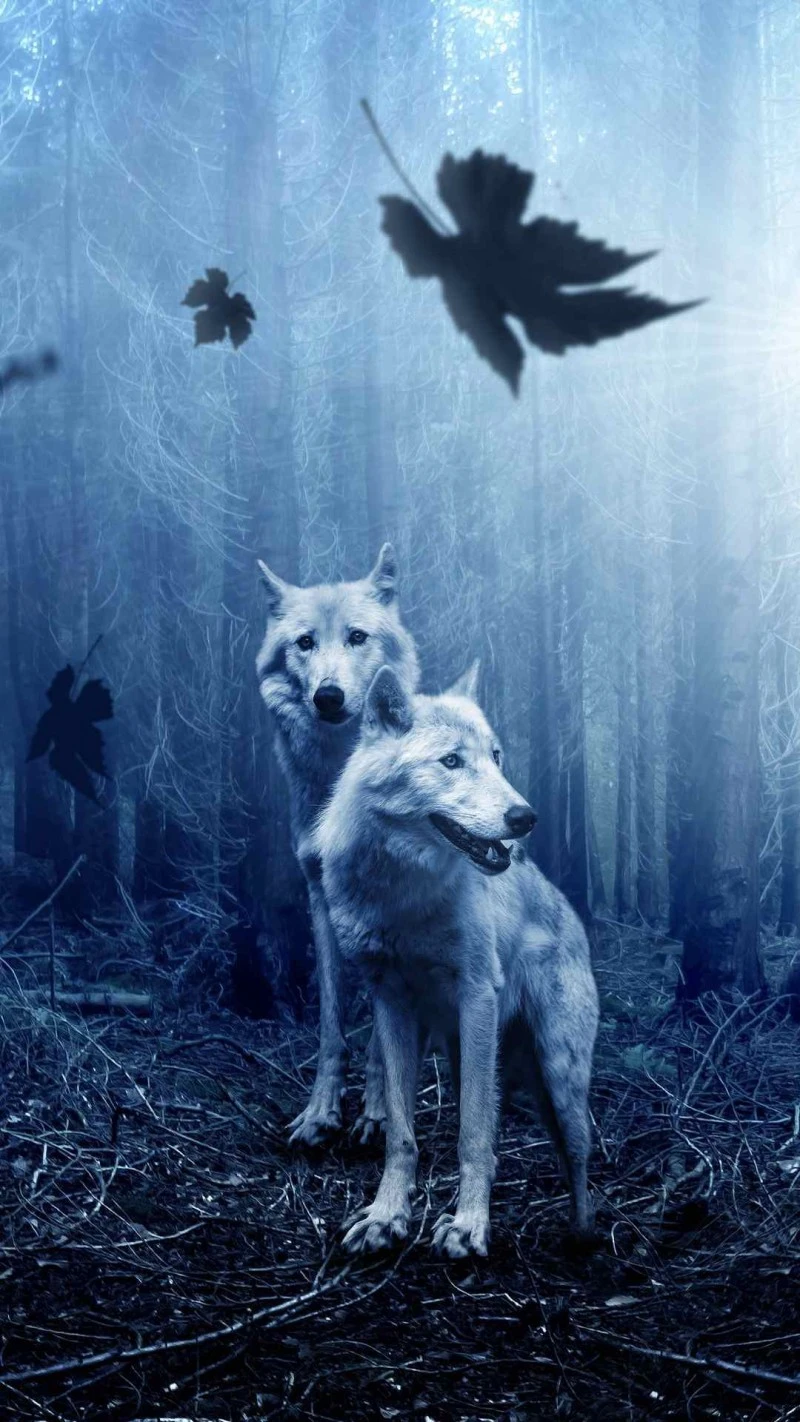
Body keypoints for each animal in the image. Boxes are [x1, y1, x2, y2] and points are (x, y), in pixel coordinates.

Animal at [255, 547, 419, 1146]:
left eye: (356, 637)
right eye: (305, 642)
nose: (328, 696)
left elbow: (382, 1034)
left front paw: (377, 1114)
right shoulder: (319, 896)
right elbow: (331, 1021)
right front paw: (320, 1113)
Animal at [315, 663, 599, 1258]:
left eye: (497, 756)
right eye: (451, 761)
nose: (526, 817)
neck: (402, 894)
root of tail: (571, 915)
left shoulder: (477, 995)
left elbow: (472, 1135)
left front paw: (469, 1227)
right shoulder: (390, 1002)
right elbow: (401, 1133)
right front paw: (386, 1217)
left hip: (558, 1074)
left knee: (579, 1155)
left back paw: (581, 1236)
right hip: (467, 1053)